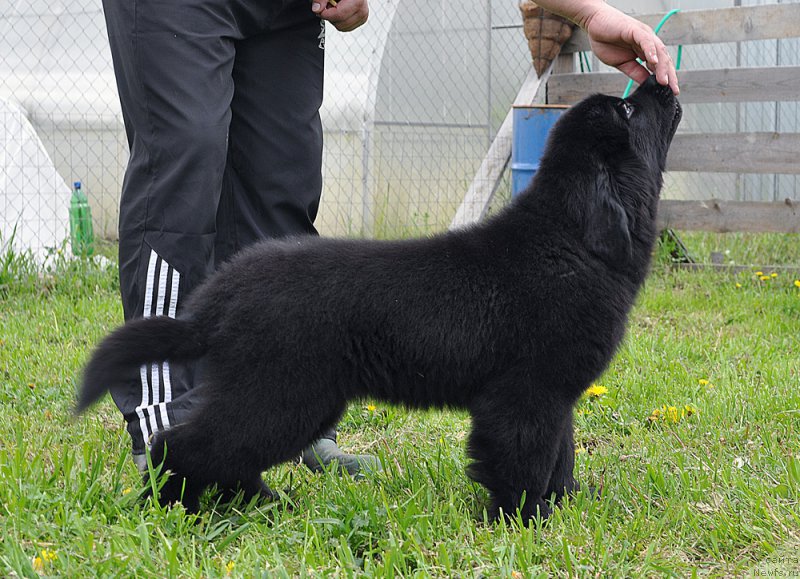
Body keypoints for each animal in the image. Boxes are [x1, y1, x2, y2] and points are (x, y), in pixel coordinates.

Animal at [78, 77, 680, 520]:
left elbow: (561, 455)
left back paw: (259, 503)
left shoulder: (556, 395)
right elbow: (524, 461)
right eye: (629, 110)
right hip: (279, 395)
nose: (660, 80)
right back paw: (173, 509)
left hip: (293, 397)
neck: (568, 241)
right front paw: (522, 522)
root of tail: (222, 292)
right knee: (180, 446)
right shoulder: (526, 395)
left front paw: (567, 504)